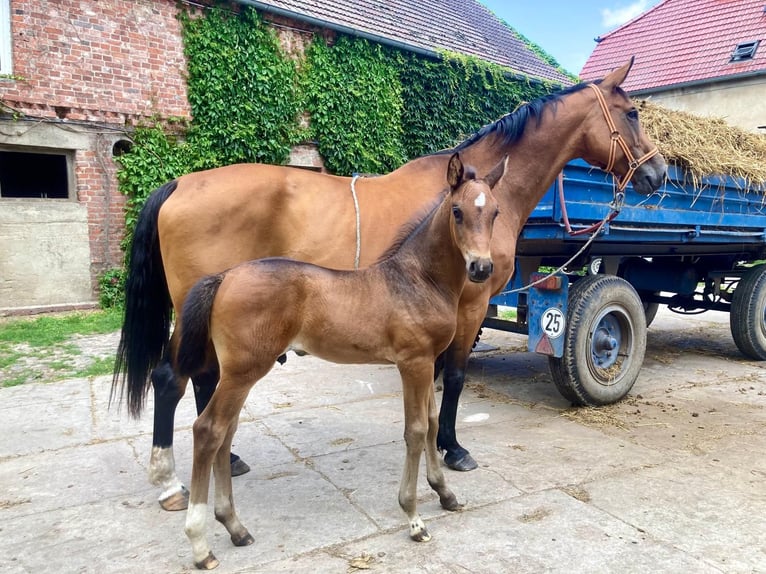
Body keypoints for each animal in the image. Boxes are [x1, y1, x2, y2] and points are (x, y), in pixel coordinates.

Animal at [112, 57, 667, 512]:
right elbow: (456, 377)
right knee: (173, 378)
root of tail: (179, 184)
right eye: (632, 113)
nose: (659, 173)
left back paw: (227, 461)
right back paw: (171, 480)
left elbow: (436, 384)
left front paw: (438, 449)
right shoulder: (470, 304)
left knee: (203, 381)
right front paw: (454, 449)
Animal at [175, 154, 503, 569]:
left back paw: (235, 527)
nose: (481, 268)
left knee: (224, 433)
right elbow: (414, 431)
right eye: (458, 211)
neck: (418, 280)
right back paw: (201, 546)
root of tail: (223, 277)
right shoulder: (412, 363)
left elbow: (430, 423)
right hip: (242, 371)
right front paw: (414, 519)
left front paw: (445, 494)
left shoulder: (429, 362)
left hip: (239, 374)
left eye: (495, 212)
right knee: (208, 431)